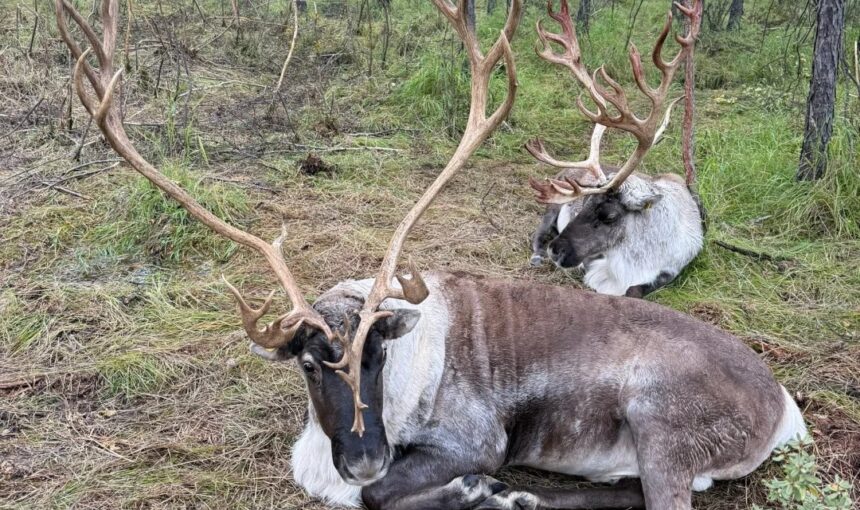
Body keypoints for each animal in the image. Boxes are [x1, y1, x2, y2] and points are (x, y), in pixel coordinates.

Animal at [526, 0, 705, 298]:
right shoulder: (591, 261)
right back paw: (538, 253)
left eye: (609, 216)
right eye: (583, 205)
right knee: (538, 231)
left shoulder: (671, 270)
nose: (556, 250)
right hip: (554, 204)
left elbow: (635, 290)